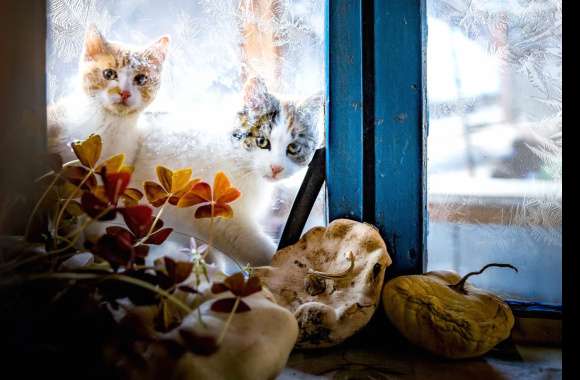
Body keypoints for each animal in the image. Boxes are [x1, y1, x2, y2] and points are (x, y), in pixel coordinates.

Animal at [133, 76, 324, 268]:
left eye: (293, 148)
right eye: (262, 141)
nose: (276, 168)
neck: (240, 163)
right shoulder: (216, 214)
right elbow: (252, 246)